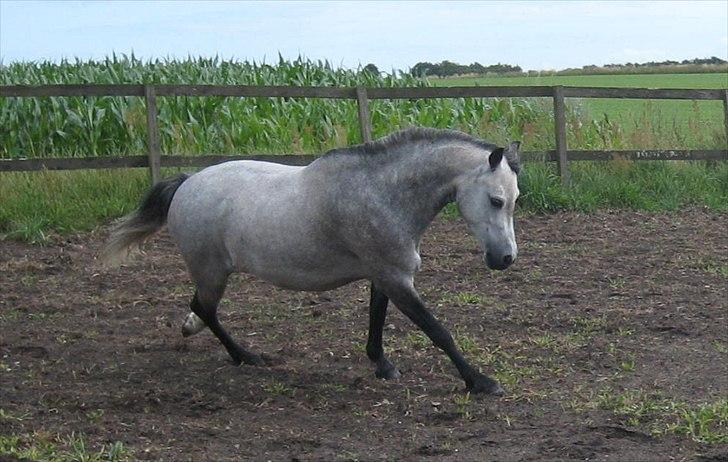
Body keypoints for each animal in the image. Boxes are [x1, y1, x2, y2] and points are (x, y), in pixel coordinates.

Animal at [105, 128, 520, 396]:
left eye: (515, 200)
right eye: (496, 200)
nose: (505, 259)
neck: (382, 194)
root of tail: (188, 182)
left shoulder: (384, 274)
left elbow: (377, 319)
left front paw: (383, 366)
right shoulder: (396, 278)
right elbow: (437, 330)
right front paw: (482, 382)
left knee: (200, 308)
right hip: (211, 271)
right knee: (205, 309)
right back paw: (246, 356)